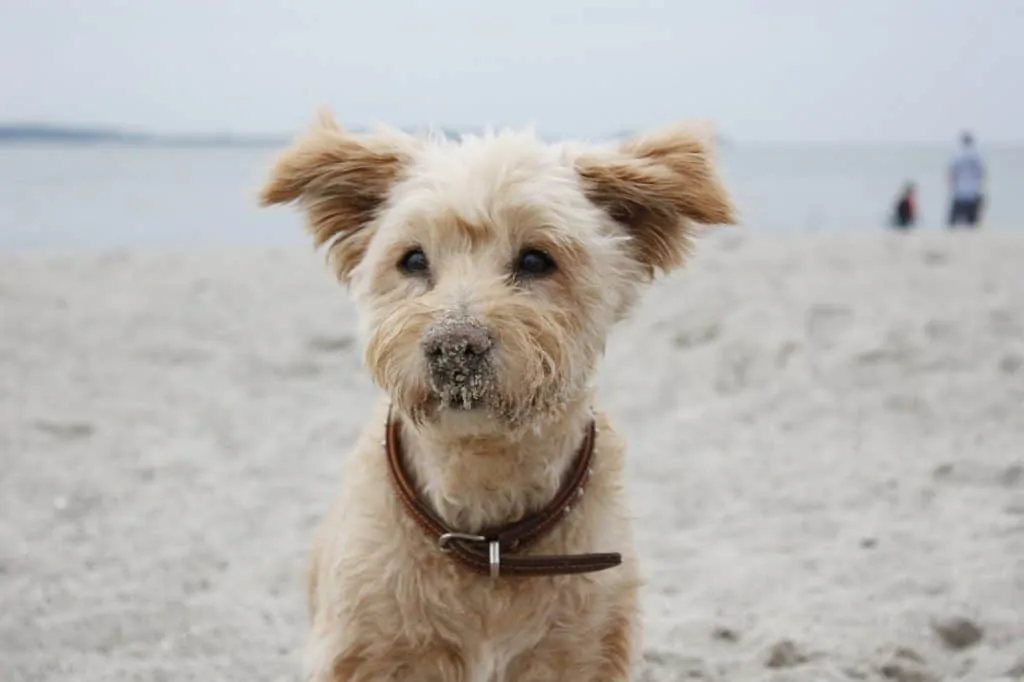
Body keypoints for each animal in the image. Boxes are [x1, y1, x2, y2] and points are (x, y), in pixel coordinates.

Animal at [260, 112, 733, 679]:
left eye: (535, 260)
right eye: (412, 259)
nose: (454, 347)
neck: (488, 534)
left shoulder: (582, 650)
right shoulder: (369, 650)